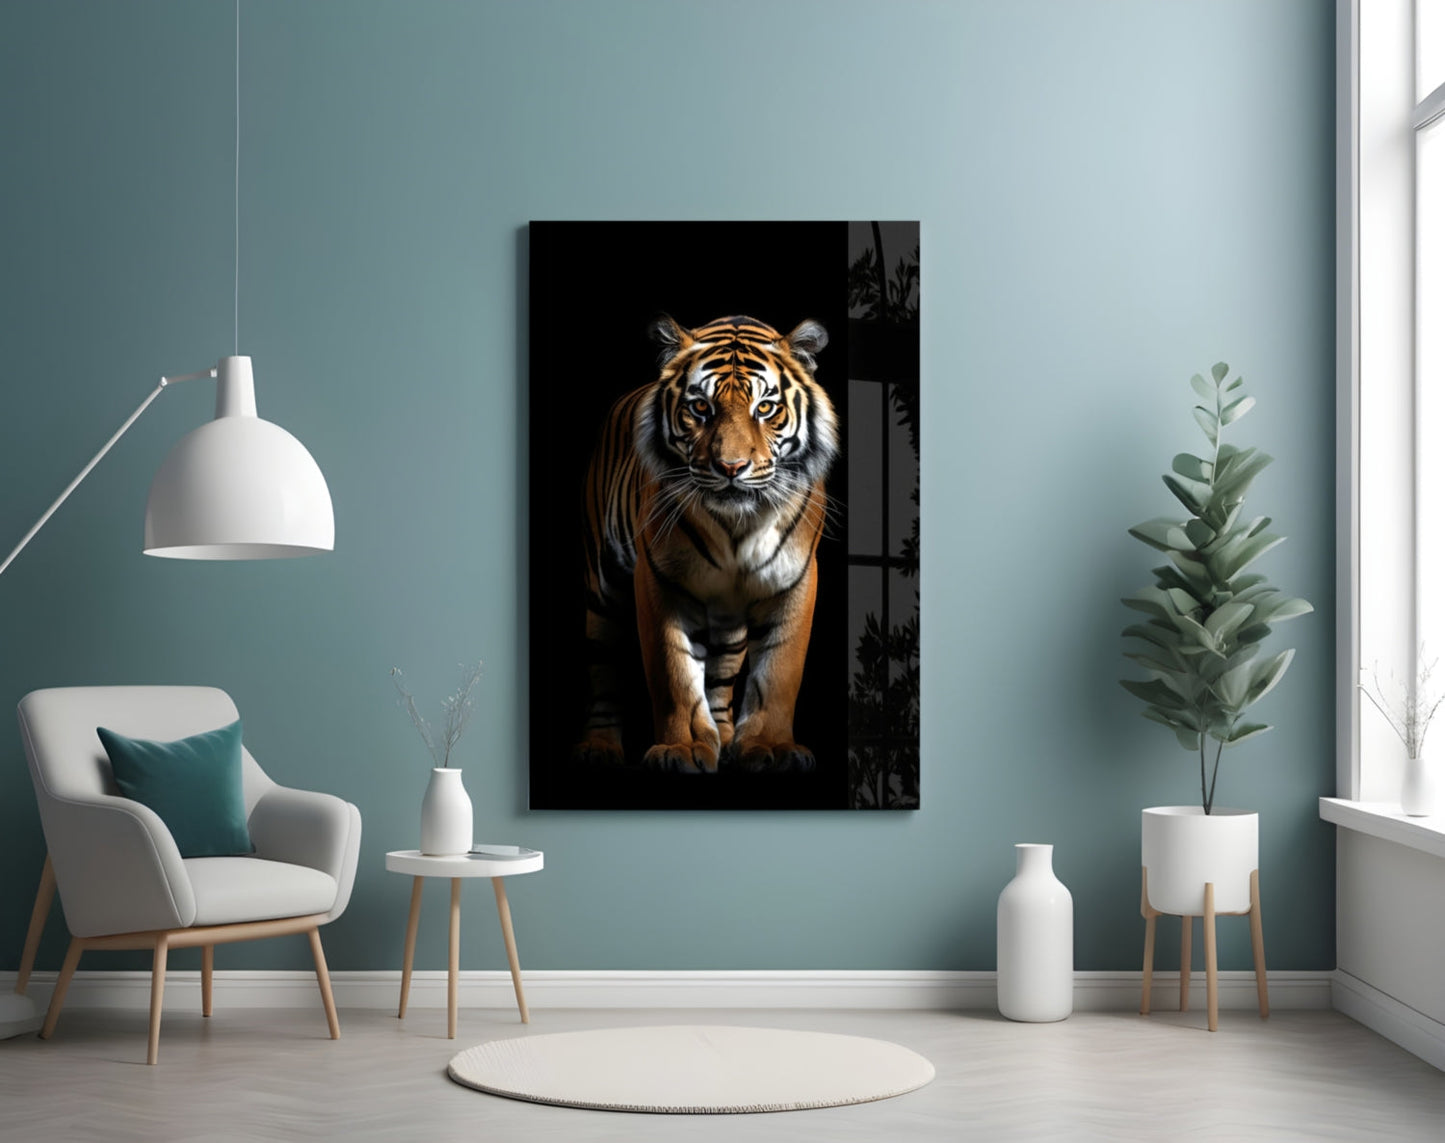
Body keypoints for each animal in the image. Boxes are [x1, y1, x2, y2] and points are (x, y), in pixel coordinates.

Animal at [574, 314, 839, 774]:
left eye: (765, 408)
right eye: (700, 407)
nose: (731, 467)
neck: (738, 526)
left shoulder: (795, 578)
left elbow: (779, 670)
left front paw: (771, 747)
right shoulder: (659, 579)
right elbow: (673, 672)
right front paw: (681, 749)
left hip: (728, 618)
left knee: (720, 674)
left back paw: (726, 739)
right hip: (604, 589)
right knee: (604, 670)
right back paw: (600, 748)